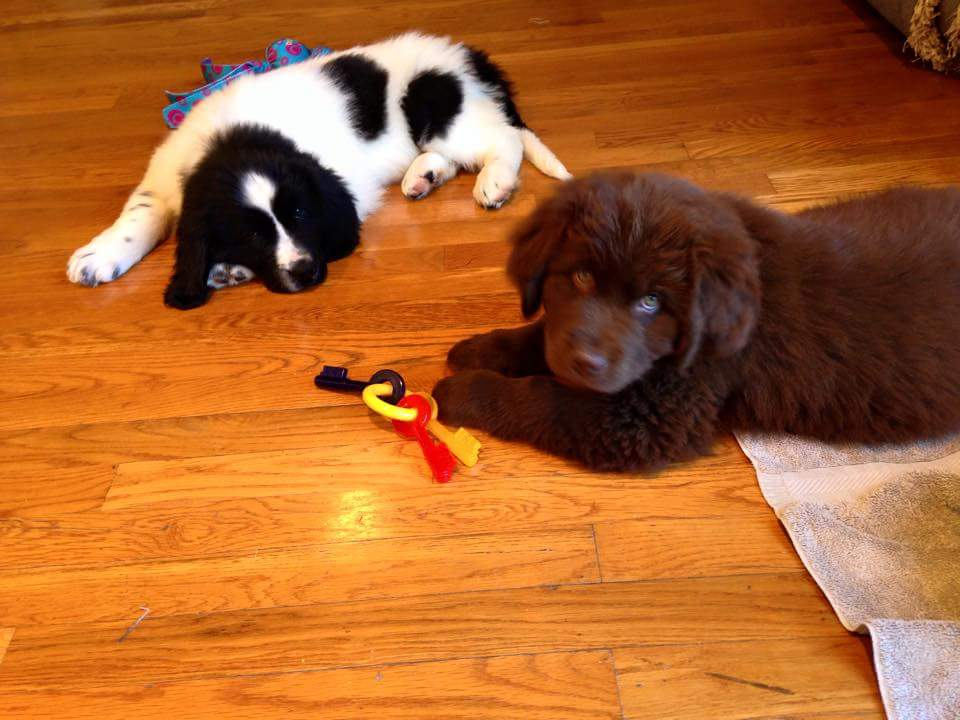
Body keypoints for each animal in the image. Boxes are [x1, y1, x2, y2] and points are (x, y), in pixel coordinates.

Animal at [65, 31, 568, 310]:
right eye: (251, 234)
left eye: (300, 215)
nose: (305, 272)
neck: (235, 138)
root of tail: (468, 56)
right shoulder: (168, 174)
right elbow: (140, 215)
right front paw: (99, 255)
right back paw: (422, 177)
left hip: (434, 106)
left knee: (502, 138)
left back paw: (495, 182)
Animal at [436, 172, 960, 470]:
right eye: (581, 276)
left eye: (651, 302)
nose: (587, 363)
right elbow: (542, 336)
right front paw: (481, 349)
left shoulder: (650, 417)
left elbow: (542, 398)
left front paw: (461, 392)